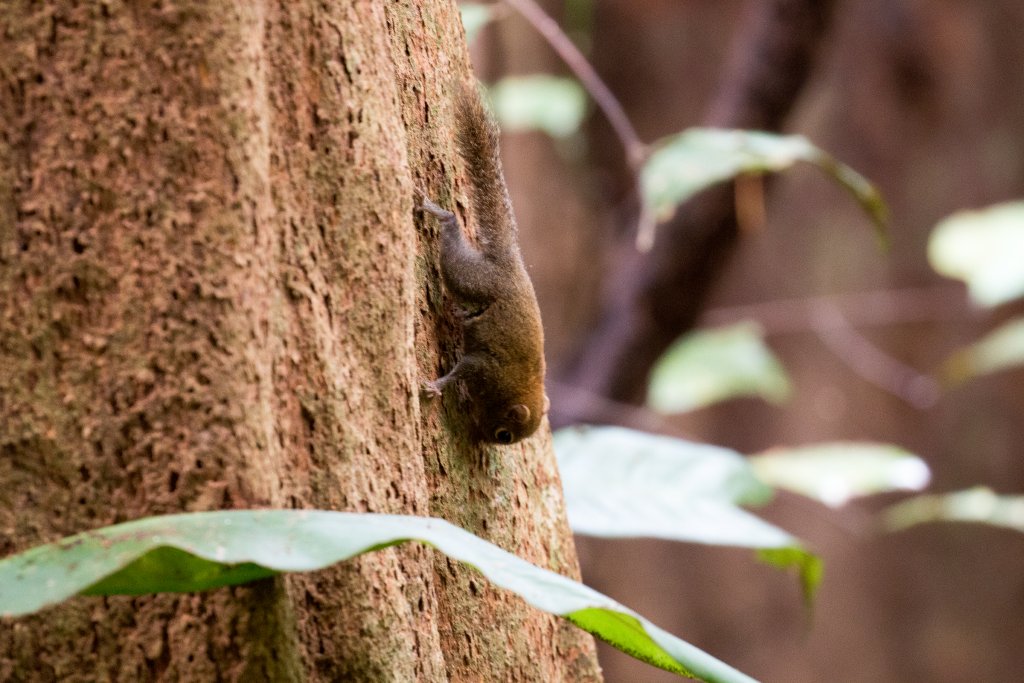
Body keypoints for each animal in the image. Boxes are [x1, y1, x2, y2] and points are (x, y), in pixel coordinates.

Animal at [420, 83, 548, 445]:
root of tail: (510, 261)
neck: (520, 387)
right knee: (452, 238)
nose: (485, 440)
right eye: (505, 435)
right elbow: (459, 371)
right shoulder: (485, 367)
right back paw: (441, 216)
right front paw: (435, 387)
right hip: (472, 277)